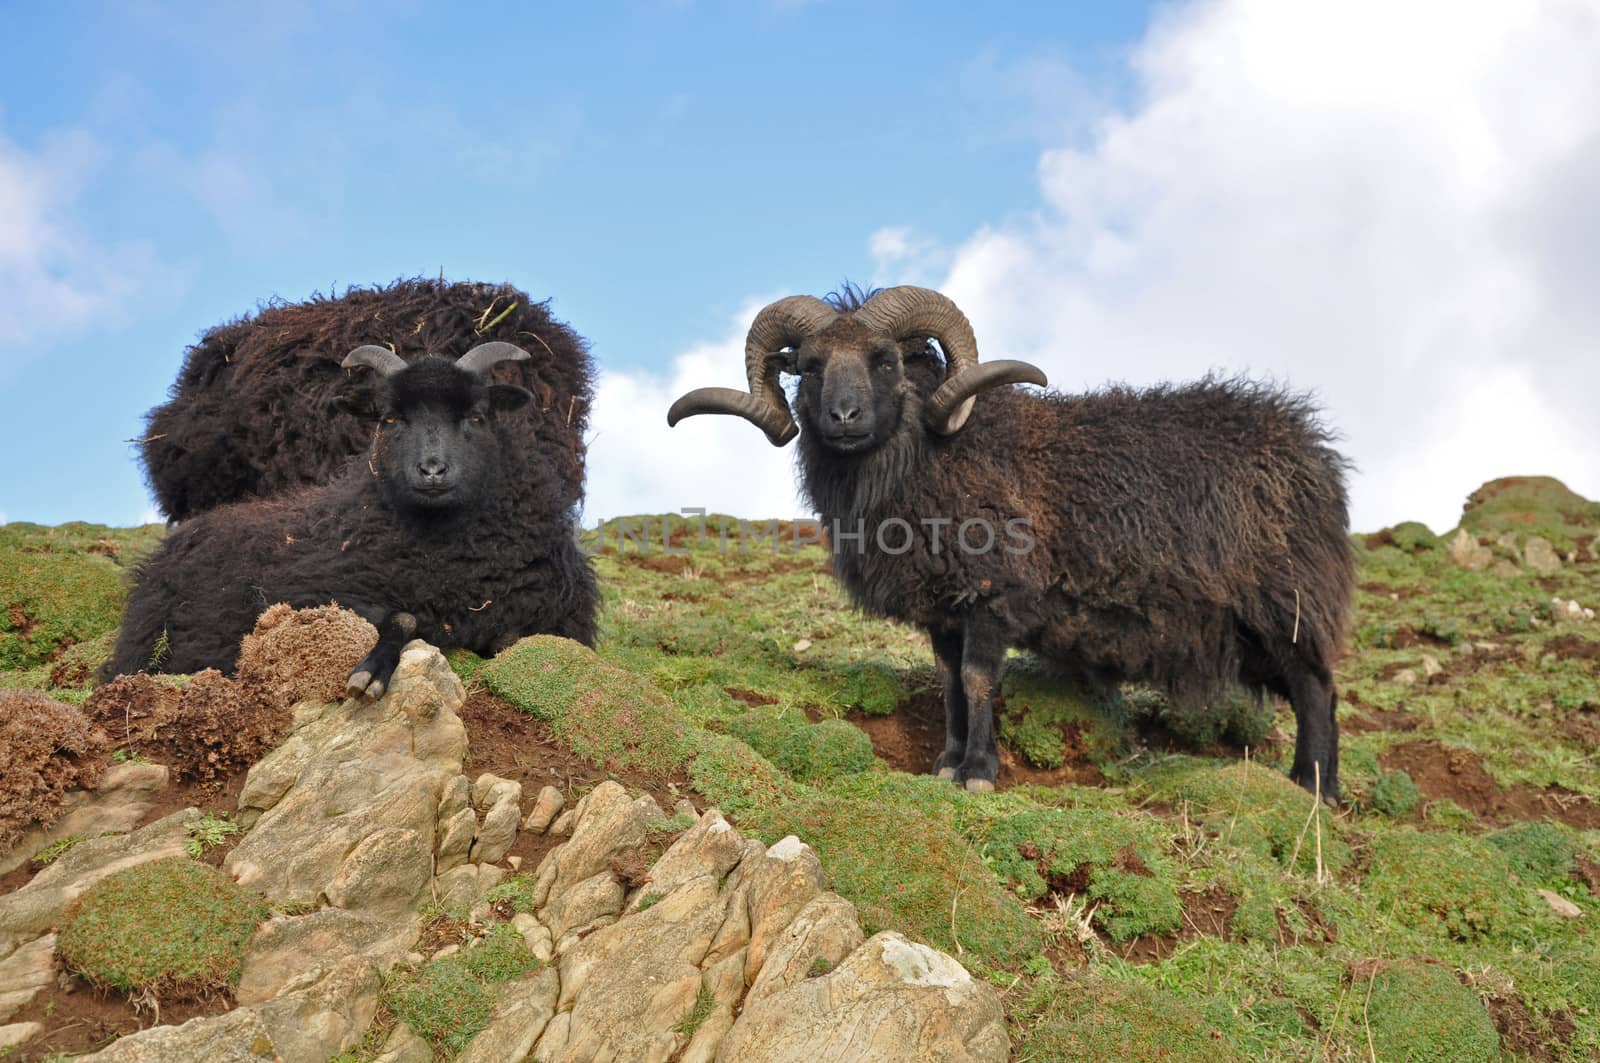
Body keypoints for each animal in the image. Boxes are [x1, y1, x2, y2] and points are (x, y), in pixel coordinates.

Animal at [106, 344, 598, 701]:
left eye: (476, 416)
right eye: (391, 418)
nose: (432, 470)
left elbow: (511, 641)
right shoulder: (317, 592)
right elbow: (403, 617)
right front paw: (371, 671)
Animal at [668, 284, 1356, 797]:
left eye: (885, 360)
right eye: (808, 367)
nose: (842, 418)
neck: (939, 455)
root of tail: (1311, 449)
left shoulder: (991, 591)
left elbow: (977, 680)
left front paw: (979, 771)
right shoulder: (942, 606)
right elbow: (948, 682)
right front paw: (946, 763)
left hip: (1285, 600)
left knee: (1316, 688)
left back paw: (1313, 788)